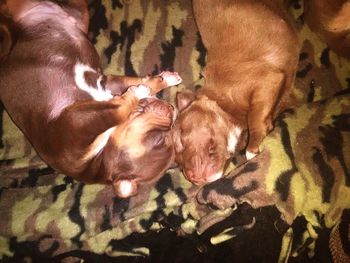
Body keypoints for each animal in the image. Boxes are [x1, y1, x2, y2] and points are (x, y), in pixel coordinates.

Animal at [0, 0, 180, 198]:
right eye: (159, 140)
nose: (173, 109)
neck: (97, 157)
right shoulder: (82, 114)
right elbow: (124, 104)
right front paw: (153, 84)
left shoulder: (102, 89)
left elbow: (130, 94)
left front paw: (153, 85)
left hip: (80, 12)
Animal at [172, 0, 298, 186]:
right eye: (178, 166)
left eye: (180, 139)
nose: (192, 178)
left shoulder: (268, 79)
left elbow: (255, 119)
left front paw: (252, 150)